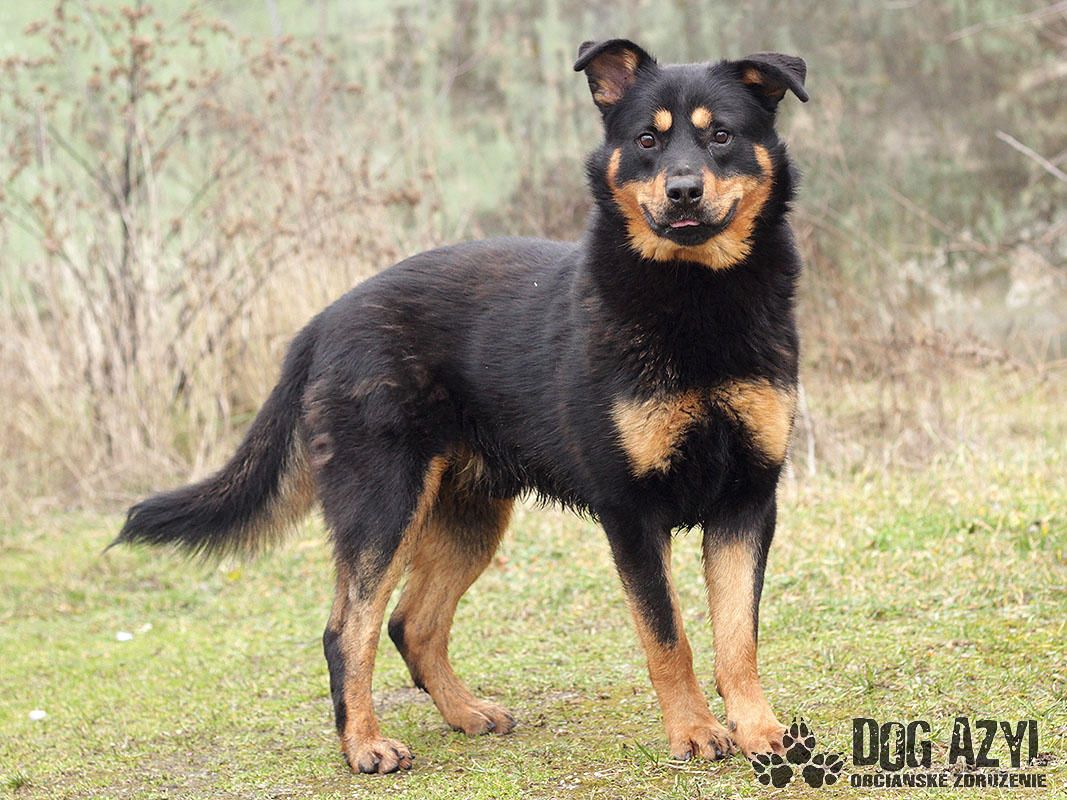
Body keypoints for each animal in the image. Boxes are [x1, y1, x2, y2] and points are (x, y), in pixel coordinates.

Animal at [116, 39, 808, 774]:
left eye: (721, 135)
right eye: (647, 139)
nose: (683, 191)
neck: (697, 295)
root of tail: (324, 321)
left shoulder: (746, 501)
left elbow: (737, 638)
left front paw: (759, 730)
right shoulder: (631, 513)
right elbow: (667, 637)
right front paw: (695, 732)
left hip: (468, 513)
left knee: (410, 624)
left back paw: (464, 713)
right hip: (383, 505)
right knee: (348, 630)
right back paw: (365, 745)